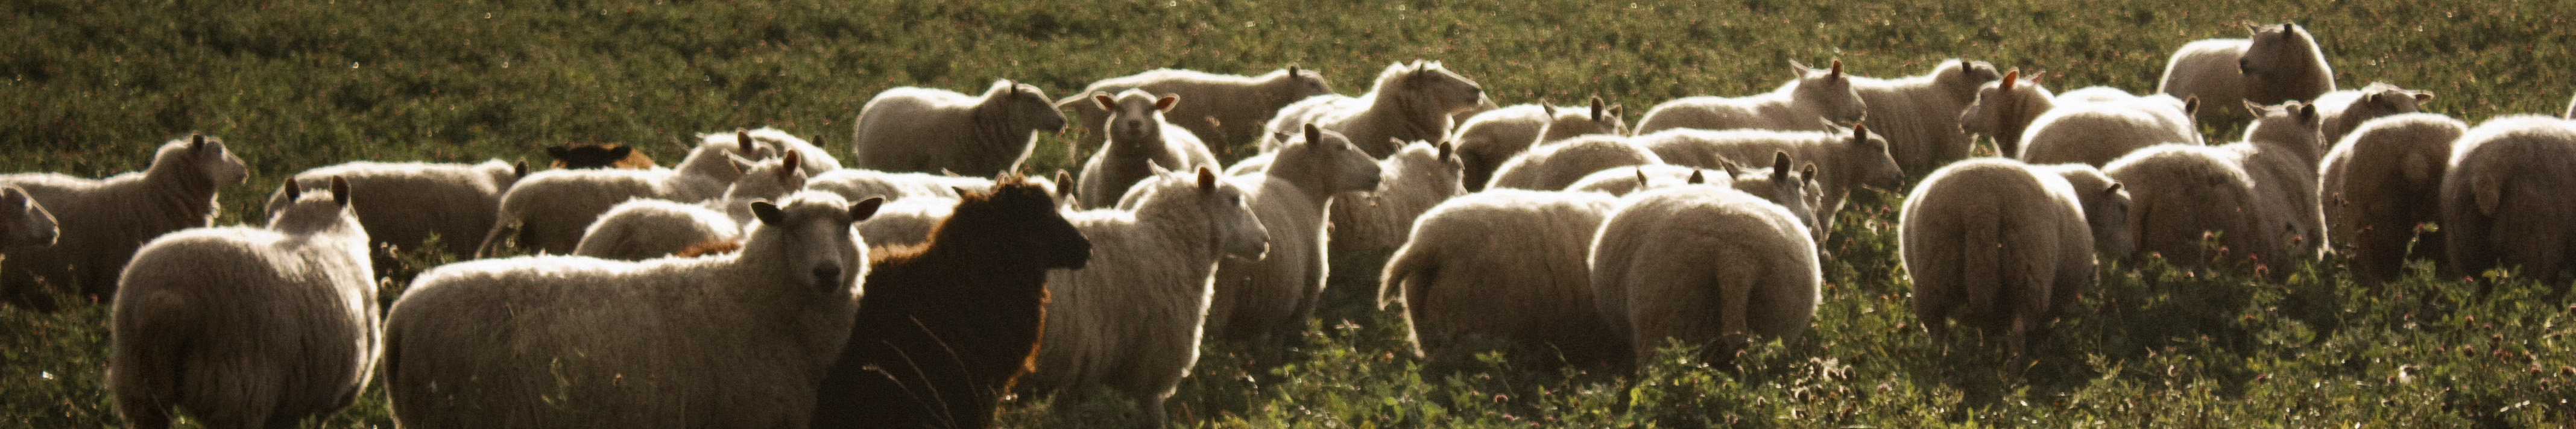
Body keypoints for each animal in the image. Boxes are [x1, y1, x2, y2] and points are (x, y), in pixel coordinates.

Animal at [1021, 166, 1269, 429]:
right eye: (1234, 199)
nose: (1265, 239)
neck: (1168, 242)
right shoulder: (1153, 354)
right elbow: (1156, 413)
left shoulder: (1082, 355)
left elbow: (1063, 409)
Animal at [1206, 125, 1383, 351]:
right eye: (1341, 147)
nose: (1379, 171)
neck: (1304, 192)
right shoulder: (1296, 304)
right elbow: (1275, 351)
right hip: (1221, 293)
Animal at [1899, 158, 2131, 355]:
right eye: (2122, 209)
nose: (2130, 255)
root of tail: (1982, 204)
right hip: (2029, 272)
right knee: (2018, 334)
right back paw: (2015, 375)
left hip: (1937, 271)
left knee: (1937, 327)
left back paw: (1947, 362)